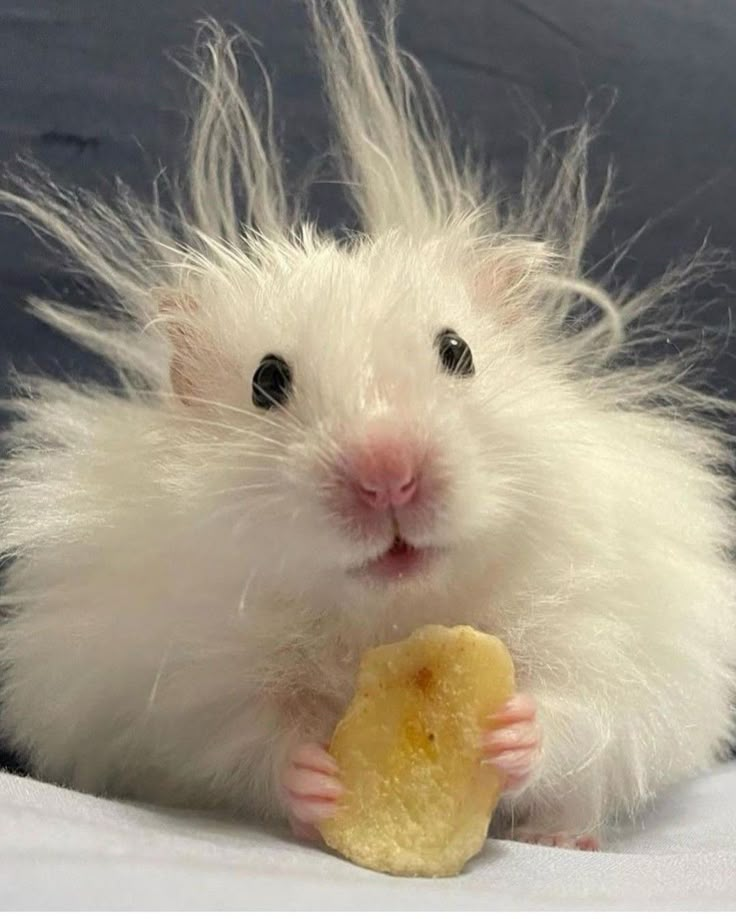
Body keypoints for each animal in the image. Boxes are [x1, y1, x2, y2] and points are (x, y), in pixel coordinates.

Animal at [1, 0, 736, 852]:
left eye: (458, 351)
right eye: (266, 381)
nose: (388, 473)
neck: (394, 616)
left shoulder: (612, 630)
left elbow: (582, 707)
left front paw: (508, 730)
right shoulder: (174, 679)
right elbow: (246, 734)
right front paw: (317, 773)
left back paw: (562, 838)